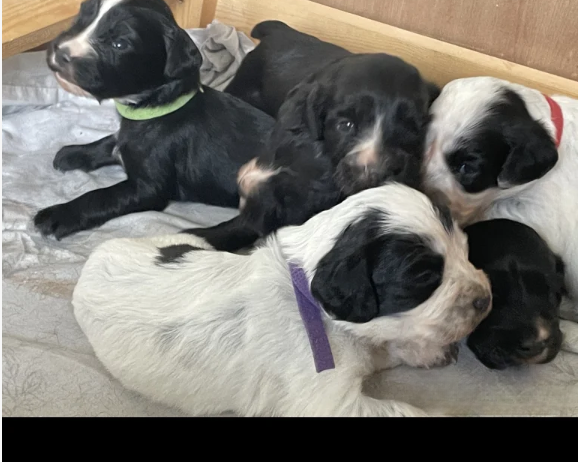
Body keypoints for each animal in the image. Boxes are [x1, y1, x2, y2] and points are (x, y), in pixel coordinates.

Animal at [33, 0, 272, 238]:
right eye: (81, 19)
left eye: (119, 44)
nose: (60, 52)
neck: (154, 108)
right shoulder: (124, 140)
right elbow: (107, 142)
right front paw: (72, 153)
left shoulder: (148, 188)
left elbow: (100, 196)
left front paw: (58, 214)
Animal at [70, 184, 488, 418]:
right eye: (424, 278)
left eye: (466, 249)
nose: (486, 299)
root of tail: (95, 258)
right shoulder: (329, 402)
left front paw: (430, 351)